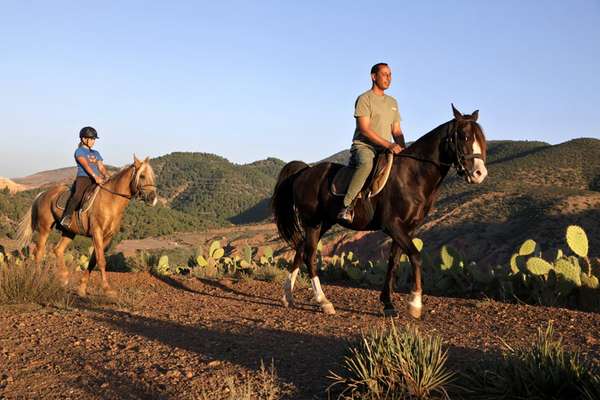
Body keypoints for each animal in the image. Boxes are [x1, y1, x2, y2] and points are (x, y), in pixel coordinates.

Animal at [16, 156, 157, 296]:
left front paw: (82, 288)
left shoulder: (107, 237)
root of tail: (43, 194)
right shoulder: (97, 232)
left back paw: (64, 277)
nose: (153, 198)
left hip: (69, 232)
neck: (110, 200)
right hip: (45, 228)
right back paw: (37, 278)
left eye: (153, 176)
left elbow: (93, 260)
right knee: (39, 252)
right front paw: (107, 288)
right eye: (142, 176)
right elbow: (101, 260)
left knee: (58, 250)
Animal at [272, 104, 488, 318]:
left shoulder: (407, 229)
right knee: (309, 255)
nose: (480, 174)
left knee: (300, 249)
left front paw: (388, 303)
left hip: (324, 222)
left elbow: (394, 263)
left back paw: (287, 296)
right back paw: (323, 301)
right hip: (313, 222)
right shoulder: (392, 225)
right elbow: (415, 256)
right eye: (464, 137)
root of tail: (305, 172)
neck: (413, 175)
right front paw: (415, 303)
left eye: (482, 140)